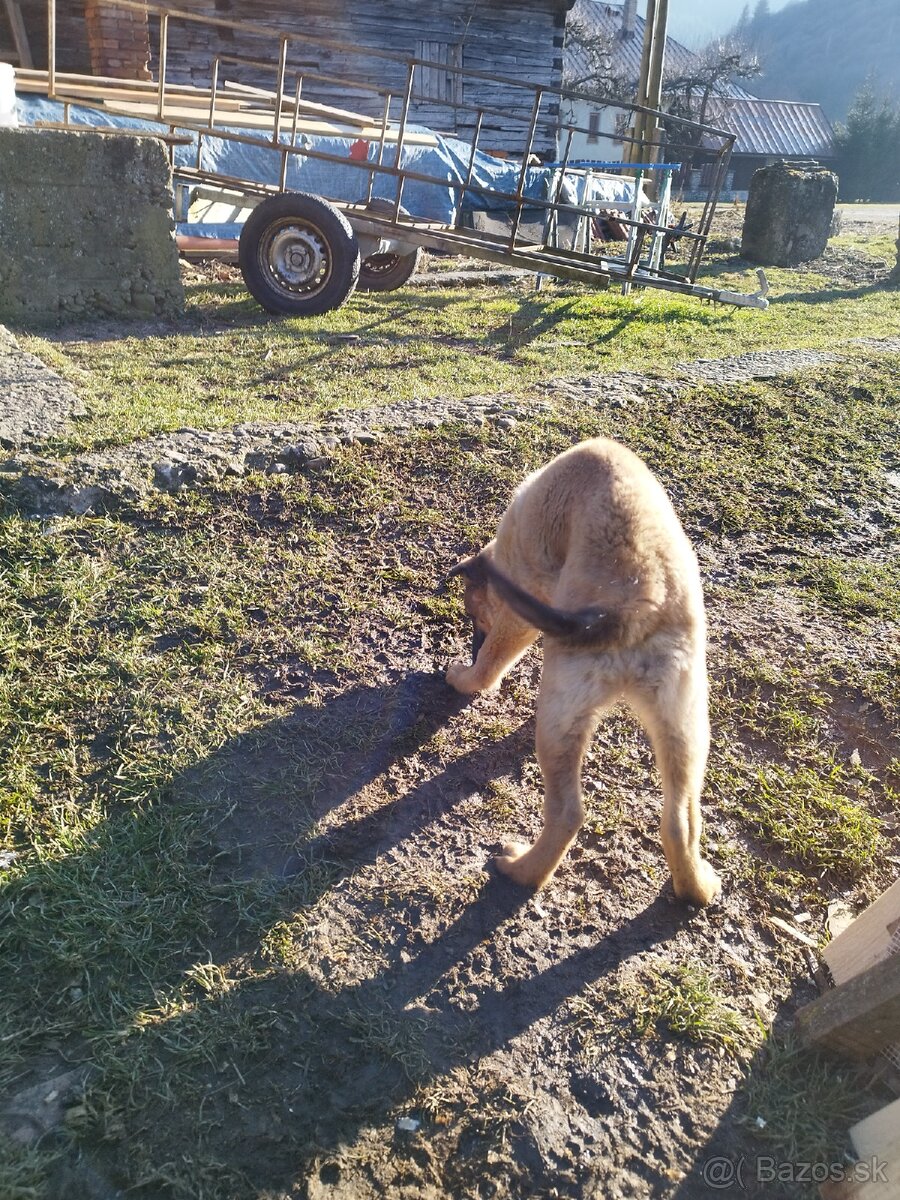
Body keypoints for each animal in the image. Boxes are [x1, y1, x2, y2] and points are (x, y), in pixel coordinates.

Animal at [448, 436, 724, 902]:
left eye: (474, 616)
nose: (471, 643)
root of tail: (639, 607)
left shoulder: (523, 605)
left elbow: (493, 660)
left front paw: (466, 679)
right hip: (683, 729)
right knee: (680, 822)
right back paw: (696, 889)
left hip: (562, 707)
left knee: (567, 814)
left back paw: (521, 871)